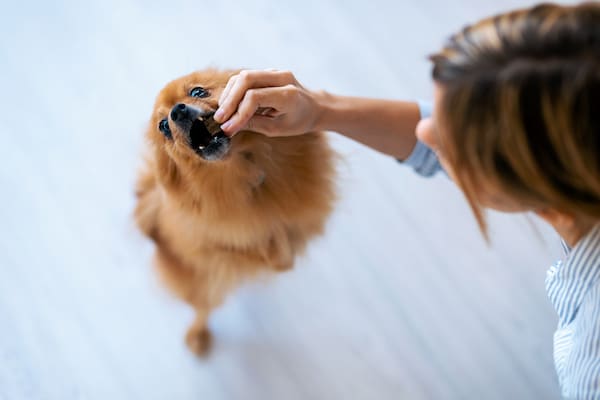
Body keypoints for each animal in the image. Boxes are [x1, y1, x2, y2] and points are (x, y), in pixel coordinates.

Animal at [134, 69, 338, 356]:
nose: (177, 111)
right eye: (163, 127)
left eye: (197, 92)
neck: (242, 172)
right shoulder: (219, 245)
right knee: (203, 306)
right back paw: (197, 335)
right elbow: (260, 248)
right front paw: (278, 250)